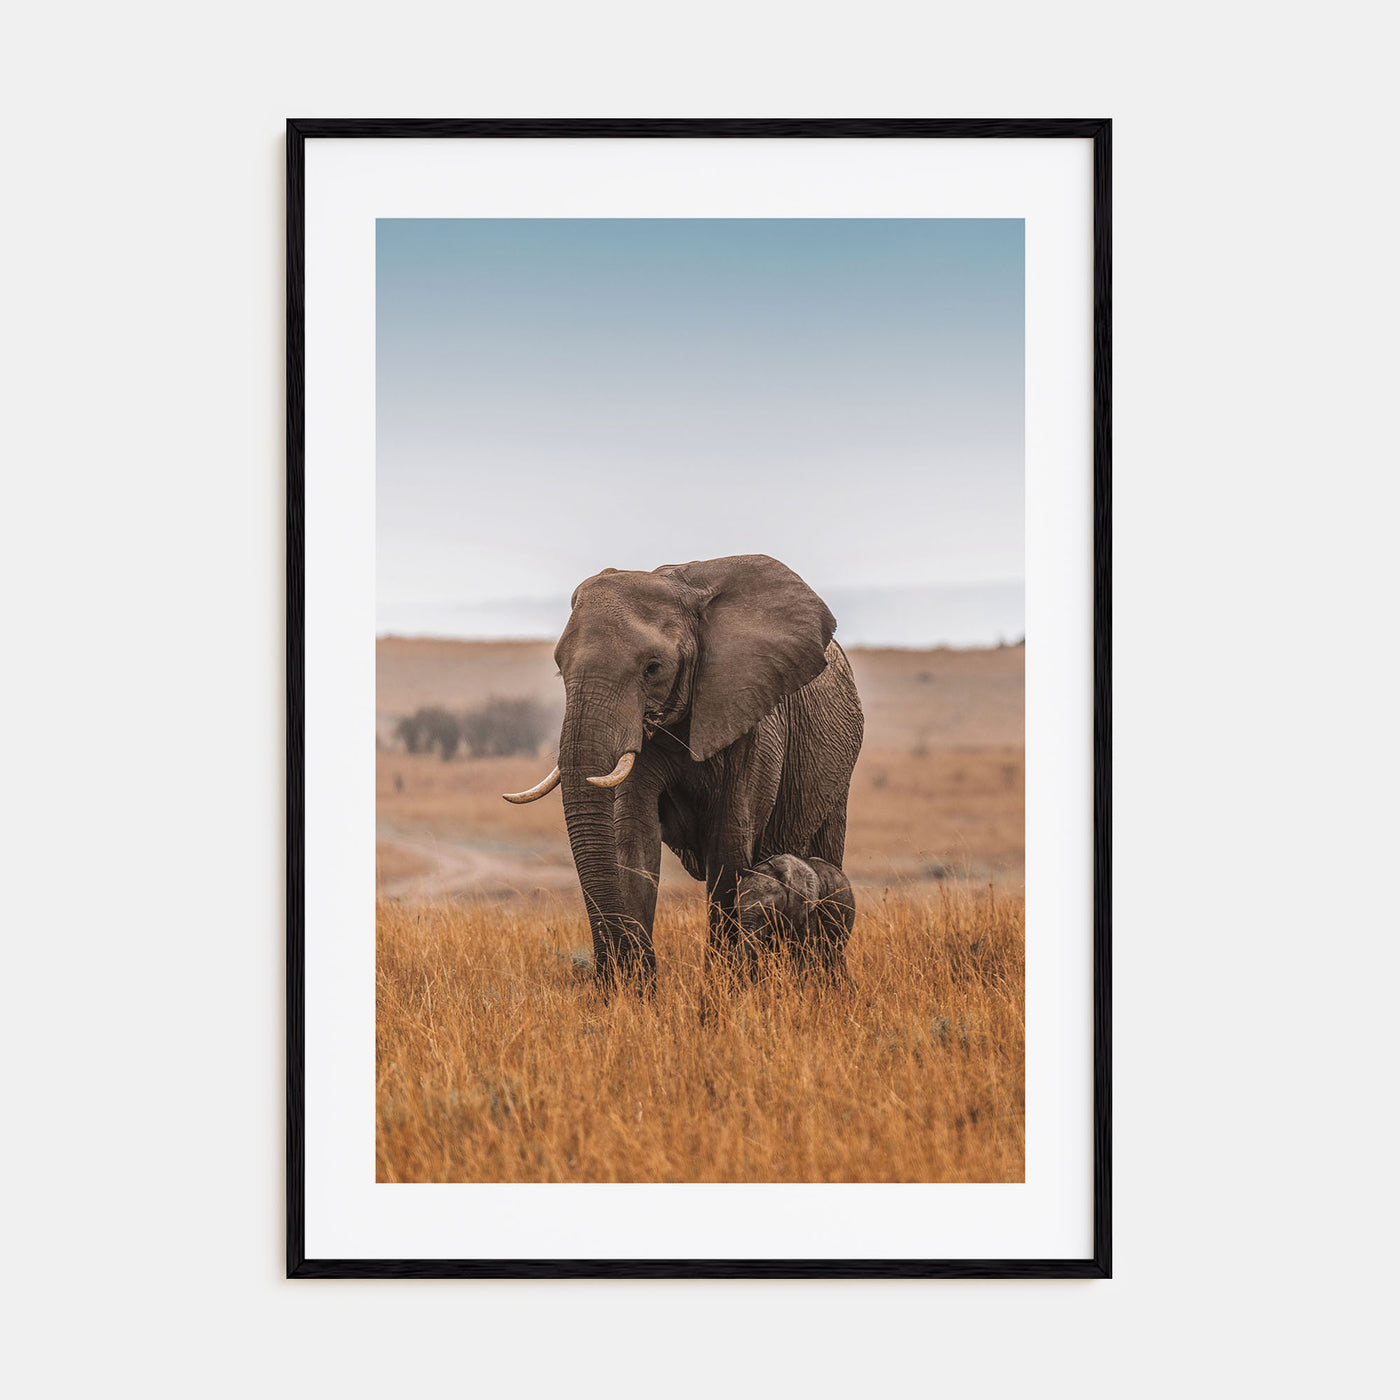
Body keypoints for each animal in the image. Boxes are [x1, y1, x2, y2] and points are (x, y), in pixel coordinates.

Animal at [503, 554, 863, 987]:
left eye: (653, 668)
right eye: (559, 668)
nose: (605, 974)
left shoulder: (754, 716)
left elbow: (729, 840)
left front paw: (725, 988)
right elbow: (633, 838)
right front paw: (634, 991)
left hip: (839, 768)